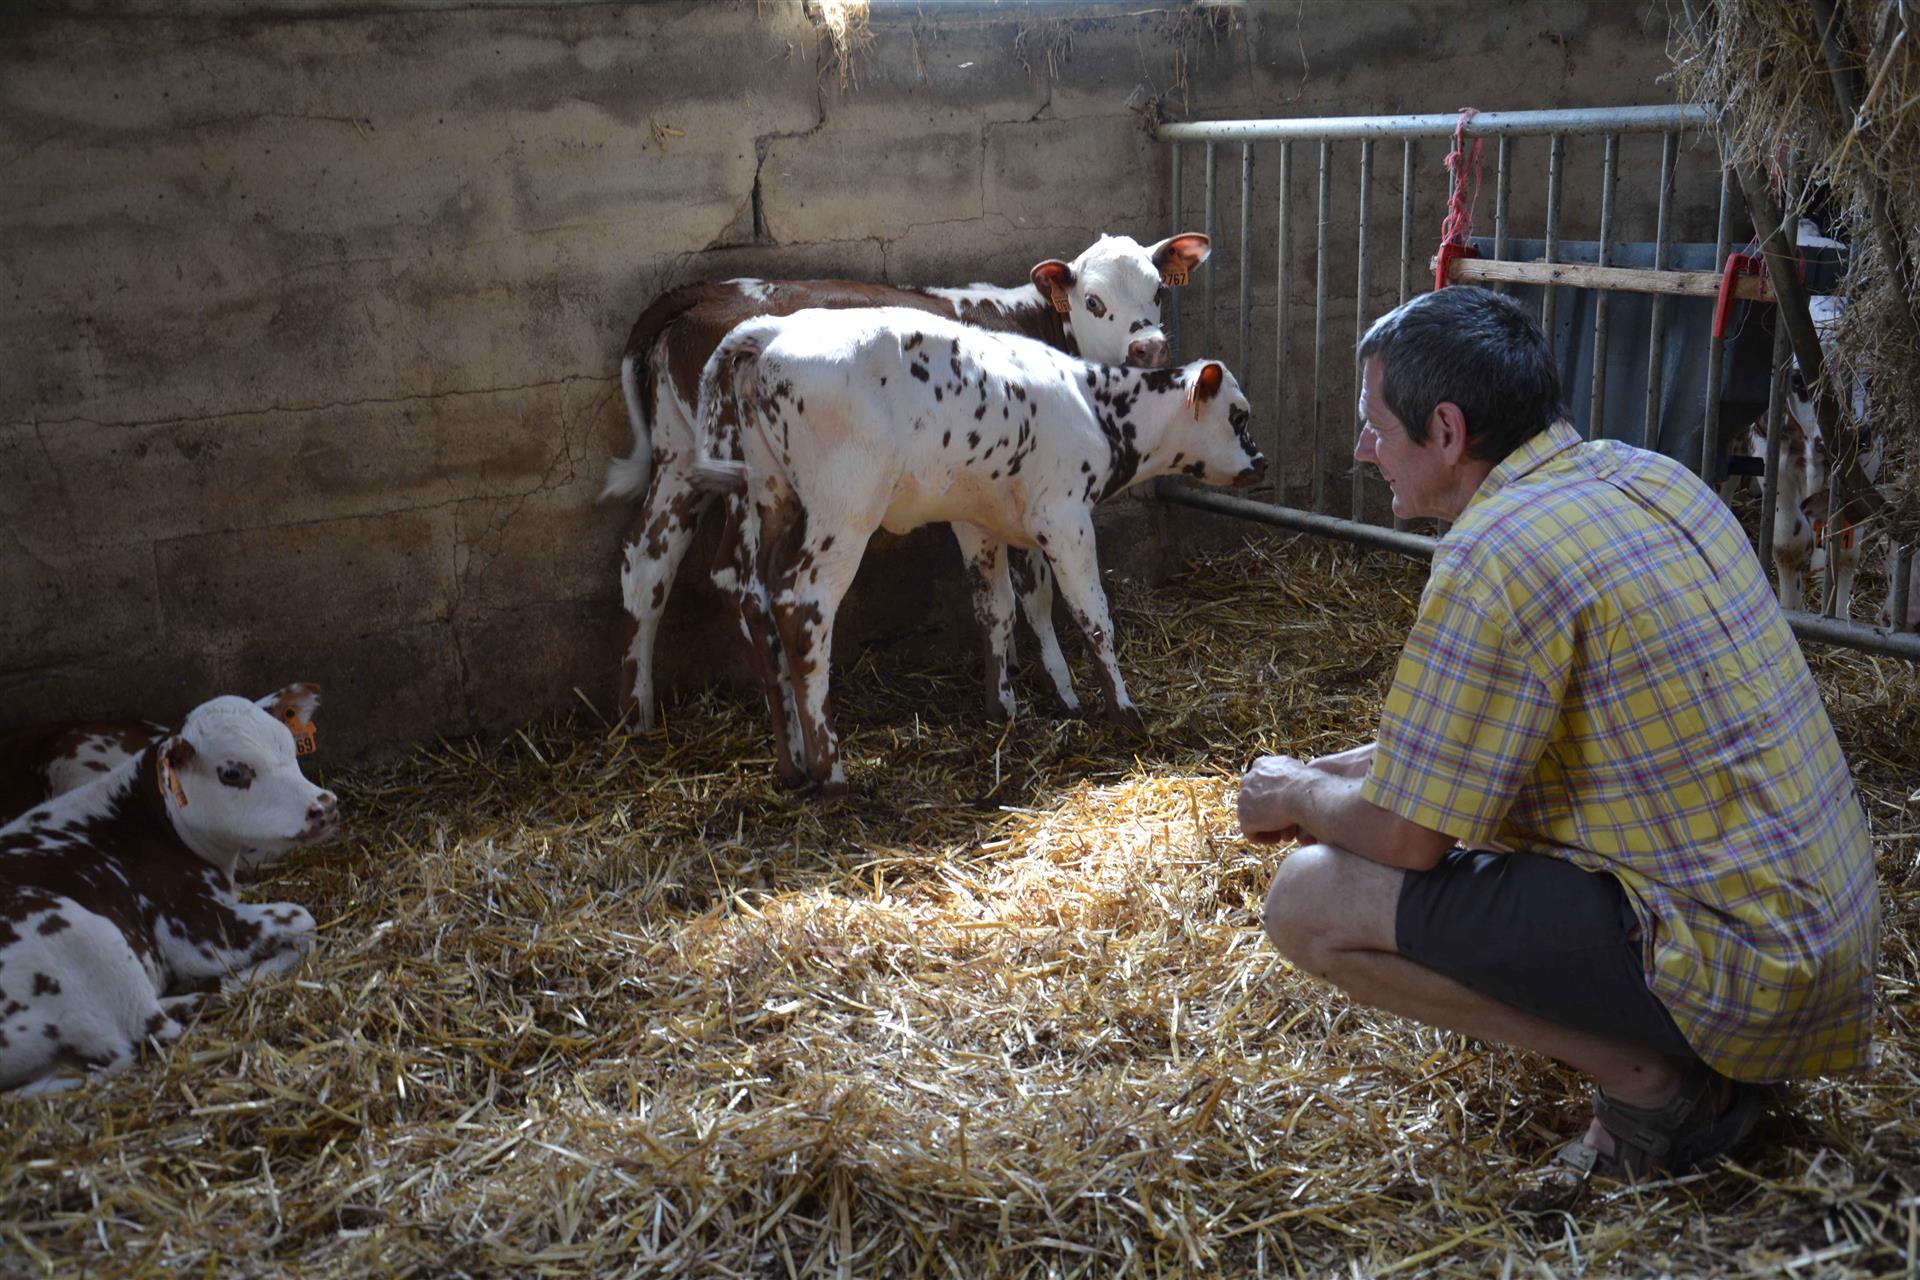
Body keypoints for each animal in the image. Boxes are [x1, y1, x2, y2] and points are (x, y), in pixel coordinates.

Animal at [599, 230, 1205, 729]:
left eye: (1157, 290)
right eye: (1094, 301)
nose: (1149, 346)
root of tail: (704, 293)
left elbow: (1020, 594)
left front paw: (1028, 675)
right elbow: (1032, 591)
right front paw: (1055, 691)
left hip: (678, 458)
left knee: (646, 562)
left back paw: (636, 717)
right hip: (746, 477)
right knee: (739, 580)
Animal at [698, 307, 1267, 794]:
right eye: (1238, 415)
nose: (1261, 463)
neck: (1094, 406)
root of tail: (772, 329)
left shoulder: (988, 523)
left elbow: (1007, 608)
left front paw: (1020, 702)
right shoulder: (1065, 518)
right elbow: (1093, 616)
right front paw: (1124, 712)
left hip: (768, 495)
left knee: (749, 596)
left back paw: (790, 762)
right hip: (843, 510)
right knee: (803, 608)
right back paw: (830, 769)